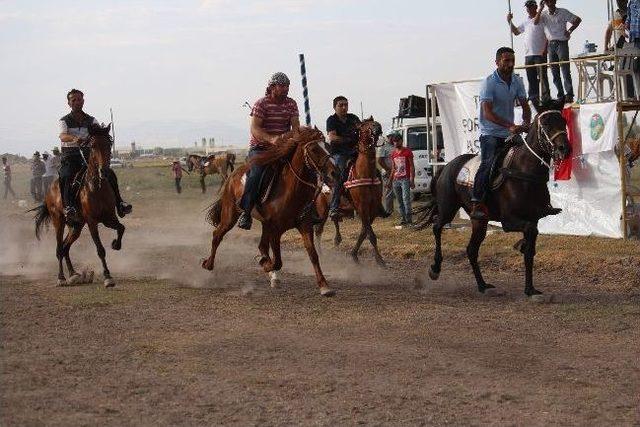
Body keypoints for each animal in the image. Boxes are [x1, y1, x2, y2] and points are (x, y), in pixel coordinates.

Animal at [31, 125, 125, 290]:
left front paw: (116, 244)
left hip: (76, 226)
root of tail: (49, 190)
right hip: (59, 222)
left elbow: (121, 228)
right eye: (93, 146)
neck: (96, 187)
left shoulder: (109, 218)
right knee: (59, 248)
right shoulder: (92, 222)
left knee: (65, 247)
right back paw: (61, 278)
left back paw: (74, 274)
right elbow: (100, 249)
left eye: (109, 144)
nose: (104, 171)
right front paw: (108, 277)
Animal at [202, 127, 338, 298]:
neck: (292, 190)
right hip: (230, 215)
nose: (335, 173)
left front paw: (324, 286)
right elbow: (278, 261)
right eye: (314, 149)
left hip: (264, 223)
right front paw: (266, 265)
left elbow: (313, 254)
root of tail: (232, 176)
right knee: (217, 235)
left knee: (261, 246)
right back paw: (208, 264)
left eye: (328, 146)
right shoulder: (276, 229)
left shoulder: (304, 225)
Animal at [416, 99, 568, 298]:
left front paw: (530, 288)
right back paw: (435, 268)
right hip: (448, 208)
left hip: (479, 220)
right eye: (546, 122)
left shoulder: (533, 219)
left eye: (564, 121)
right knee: (436, 226)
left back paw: (482, 285)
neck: (525, 172)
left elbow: (530, 249)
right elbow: (528, 235)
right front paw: (521, 247)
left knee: (471, 250)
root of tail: (447, 166)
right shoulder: (508, 221)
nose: (564, 148)